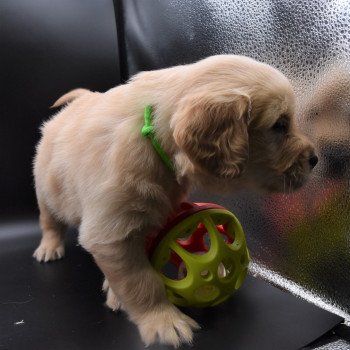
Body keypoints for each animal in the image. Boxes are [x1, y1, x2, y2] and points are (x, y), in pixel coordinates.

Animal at [32, 55, 318, 348]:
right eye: (280, 125)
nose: (315, 160)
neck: (153, 138)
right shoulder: (113, 233)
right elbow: (140, 281)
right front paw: (163, 321)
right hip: (46, 190)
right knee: (49, 220)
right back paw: (49, 248)